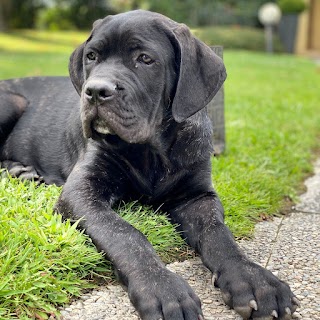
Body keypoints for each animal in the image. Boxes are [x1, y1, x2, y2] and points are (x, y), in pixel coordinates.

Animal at [0, 10, 300, 320]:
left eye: (145, 59)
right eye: (92, 56)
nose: (94, 91)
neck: (151, 151)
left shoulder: (197, 196)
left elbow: (218, 233)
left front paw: (255, 280)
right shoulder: (82, 192)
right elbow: (125, 235)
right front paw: (162, 289)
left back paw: (23, 171)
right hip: (11, 101)